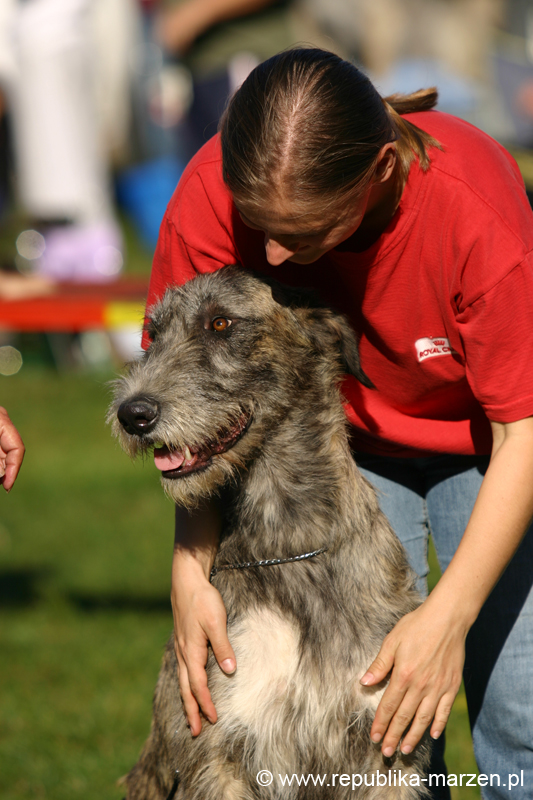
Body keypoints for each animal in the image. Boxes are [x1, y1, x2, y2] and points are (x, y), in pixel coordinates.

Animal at [110, 266, 430, 796]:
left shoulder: (387, 748)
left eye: (220, 323)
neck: (287, 540)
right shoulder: (218, 748)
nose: (133, 414)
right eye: (153, 334)